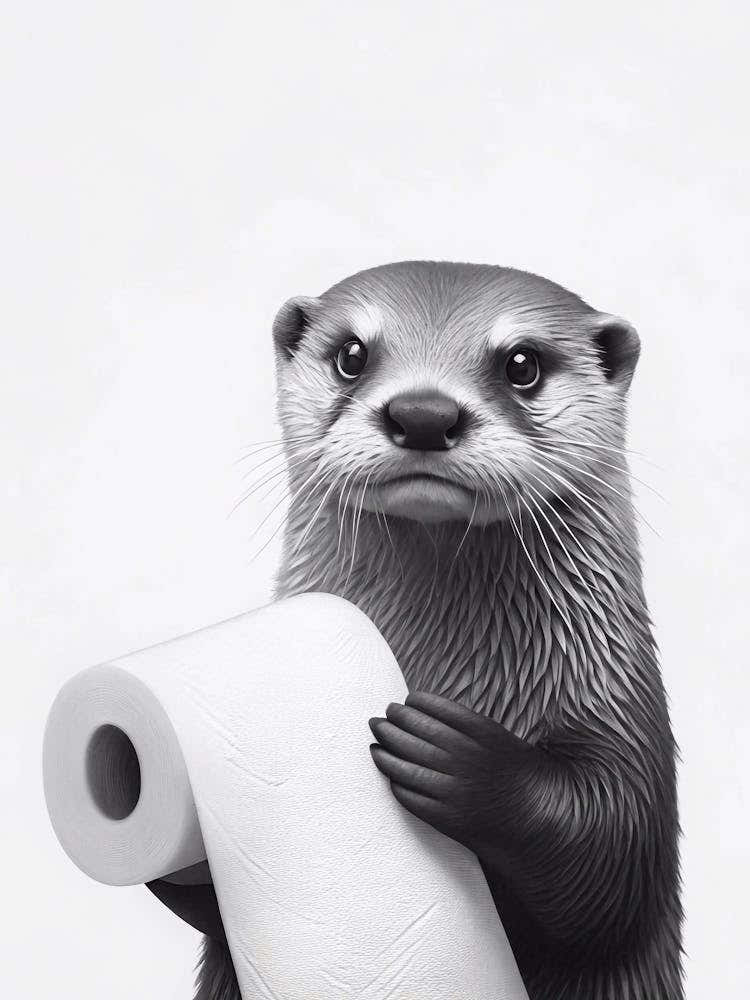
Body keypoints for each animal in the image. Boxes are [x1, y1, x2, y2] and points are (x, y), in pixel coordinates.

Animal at [148, 261, 683, 1000]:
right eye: (351, 353)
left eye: (522, 363)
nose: (424, 414)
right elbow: (205, 906)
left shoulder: (622, 711)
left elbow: (610, 865)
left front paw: (459, 755)